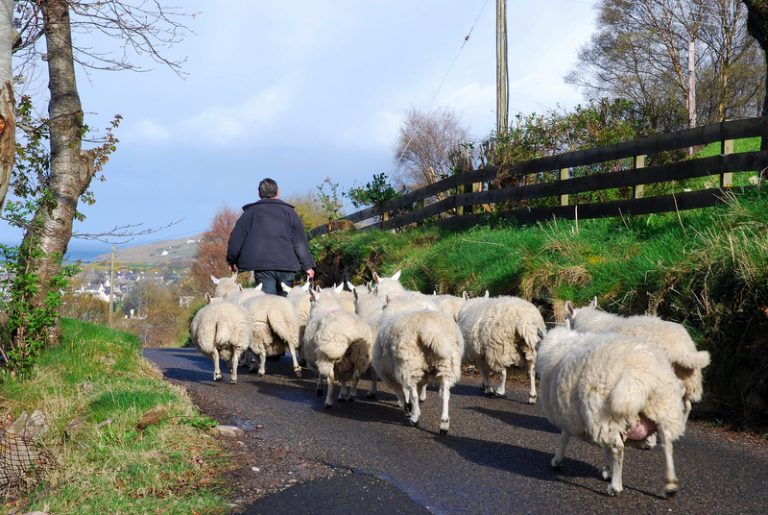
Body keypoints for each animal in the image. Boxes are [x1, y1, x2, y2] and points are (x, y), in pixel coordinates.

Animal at [372, 296, 462, 434]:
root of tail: (430, 330)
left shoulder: (389, 374)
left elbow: (401, 392)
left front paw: (408, 408)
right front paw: (410, 407)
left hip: (410, 365)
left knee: (413, 392)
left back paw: (415, 418)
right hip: (447, 365)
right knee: (446, 393)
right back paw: (444, 424)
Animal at [536, 324, 688, 498]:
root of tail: (638, 369)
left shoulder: (570, 415)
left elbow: (564, 437)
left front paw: (557, 460)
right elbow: (604, 448)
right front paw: (608, 469)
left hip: (603, 413)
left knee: (618, 448)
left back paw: (615, 487)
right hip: (663, 407)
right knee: (667, 444)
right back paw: (670, 485)